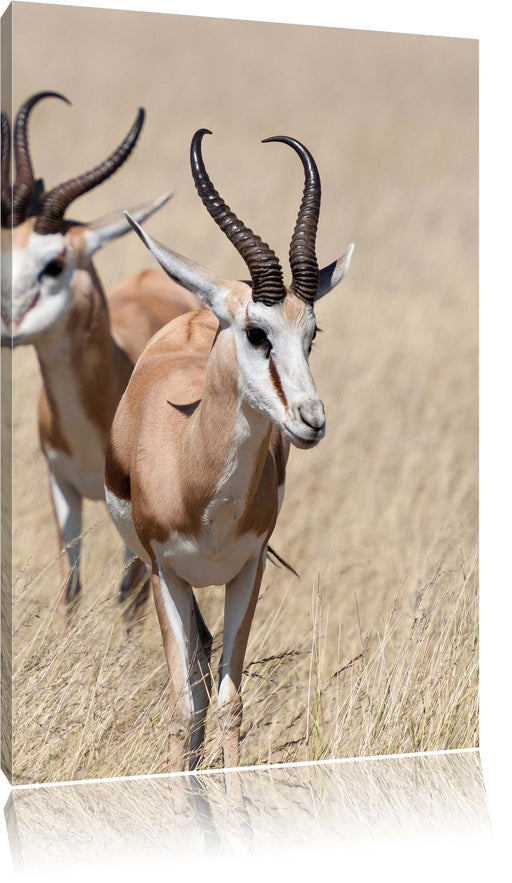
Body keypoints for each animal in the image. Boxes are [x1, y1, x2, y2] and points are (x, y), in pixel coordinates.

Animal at [104, 128, 352, 772]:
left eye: (312, 333)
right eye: (257, 333)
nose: (311, 421)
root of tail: (202, 308)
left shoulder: (248, 570)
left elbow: (230, 705)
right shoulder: (165, 574)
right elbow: (183, 706)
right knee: (191, 675)